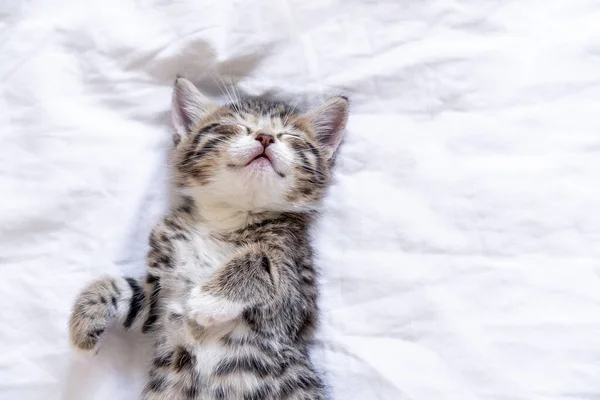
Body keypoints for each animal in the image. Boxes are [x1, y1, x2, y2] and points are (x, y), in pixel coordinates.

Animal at [68, 78, 350, 400]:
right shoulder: (161, 297)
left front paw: (207, 299)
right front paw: (82, 328)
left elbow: (260, 258)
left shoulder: (294, 300)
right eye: (236, 125)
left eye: (290, 136)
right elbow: (125, 292)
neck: (226, 218)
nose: (266, 137)